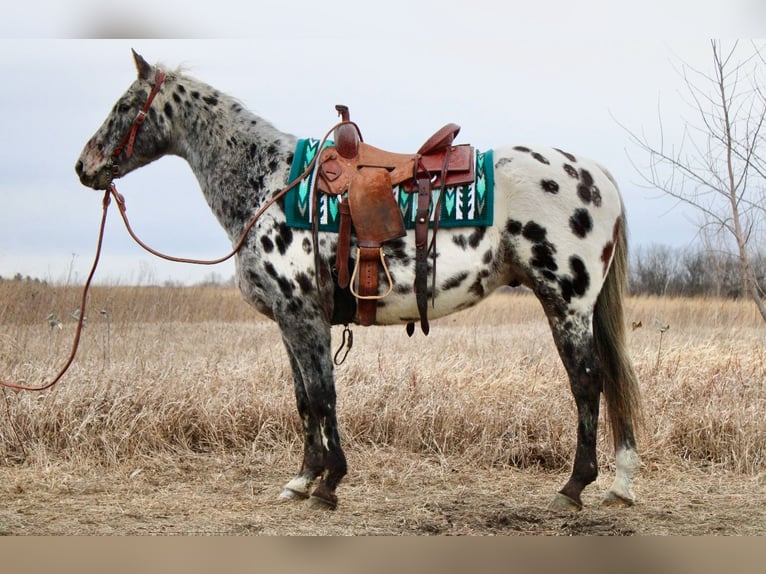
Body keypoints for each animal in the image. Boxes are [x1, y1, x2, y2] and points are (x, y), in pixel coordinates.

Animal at [76, 51, 640, 516]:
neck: (270, 184)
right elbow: (303, 398)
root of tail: (597, 175)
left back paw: (574, 487)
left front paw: (329, 484)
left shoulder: (303, 315)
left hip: (567, 303)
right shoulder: (290, 322)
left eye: (125, 105)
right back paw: (619, 484)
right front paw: (303, 479)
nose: (84, 167)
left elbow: (323, 394)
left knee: (587, 383)